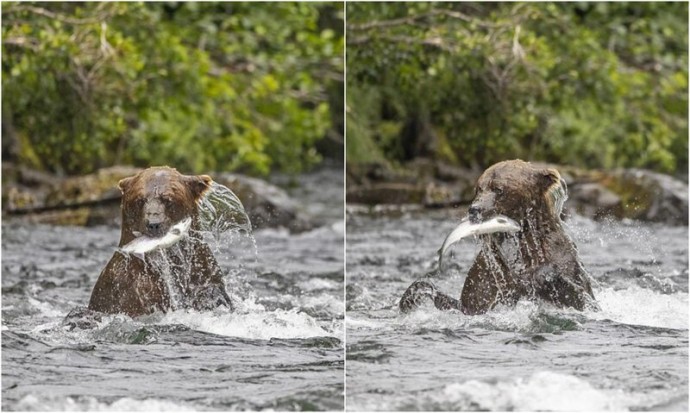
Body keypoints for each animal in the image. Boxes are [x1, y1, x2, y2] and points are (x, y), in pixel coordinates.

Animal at [87, 166, 232, 318]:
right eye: (140, 200)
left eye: (167, 199)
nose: (153, 224)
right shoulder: (132, 288)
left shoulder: (201, 267)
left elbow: (209, 289)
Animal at [398, 159, 596, 314]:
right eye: (478, 188)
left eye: (499, 189)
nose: (474, 209)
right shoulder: (488, 276)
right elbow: (471, 302)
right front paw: (411, 298)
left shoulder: (562, 259)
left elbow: (582, 299)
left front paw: (541, 276)